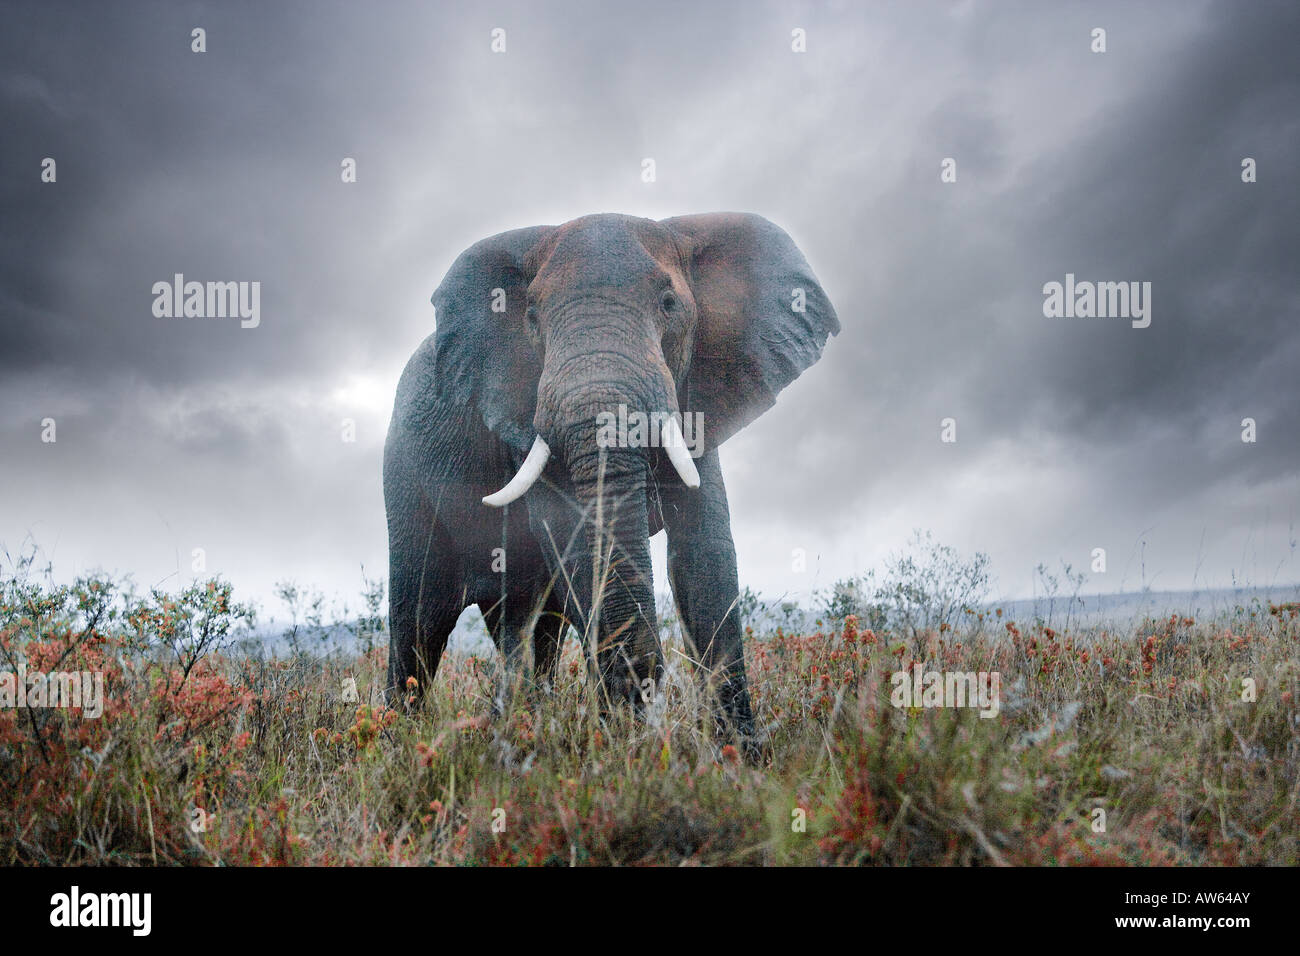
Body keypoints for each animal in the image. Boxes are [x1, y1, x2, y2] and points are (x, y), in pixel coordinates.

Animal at [379, 210, 837, 754]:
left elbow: (705, 551)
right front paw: (627, 740)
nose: (652, 690)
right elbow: (577, 542)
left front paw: (740, 756)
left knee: (530, 625)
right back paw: (397, 742)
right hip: (405, 482)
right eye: (531, 317)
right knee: (420, 621)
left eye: (669, 305)